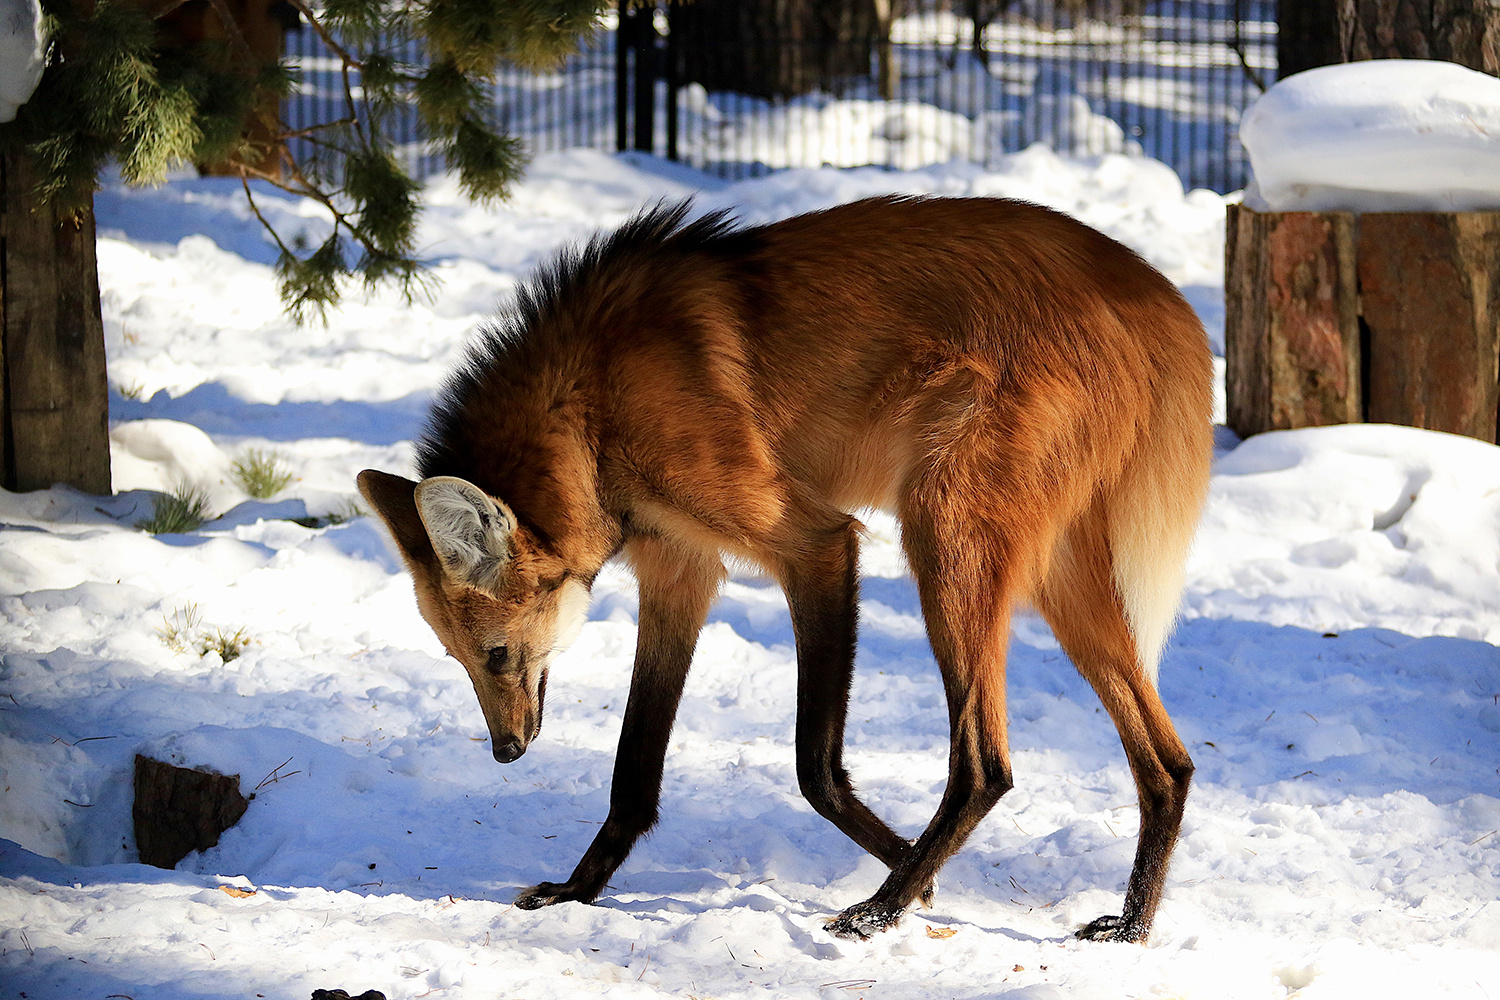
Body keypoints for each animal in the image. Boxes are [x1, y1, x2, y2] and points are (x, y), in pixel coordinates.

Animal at [357, 197, 1212, 947]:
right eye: (459, 660)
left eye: (497, 654)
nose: (506, 752)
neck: (591, 406)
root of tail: (1153, 293)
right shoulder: (679, 568)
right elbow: (634, 767)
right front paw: (577, 891)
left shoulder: (815, 544)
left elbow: (813, 765)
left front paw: (916, 881)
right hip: (1057, 577)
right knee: (1168, 765)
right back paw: (1131, 928)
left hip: (944, 542)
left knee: (985, 766)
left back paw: (880, 908)